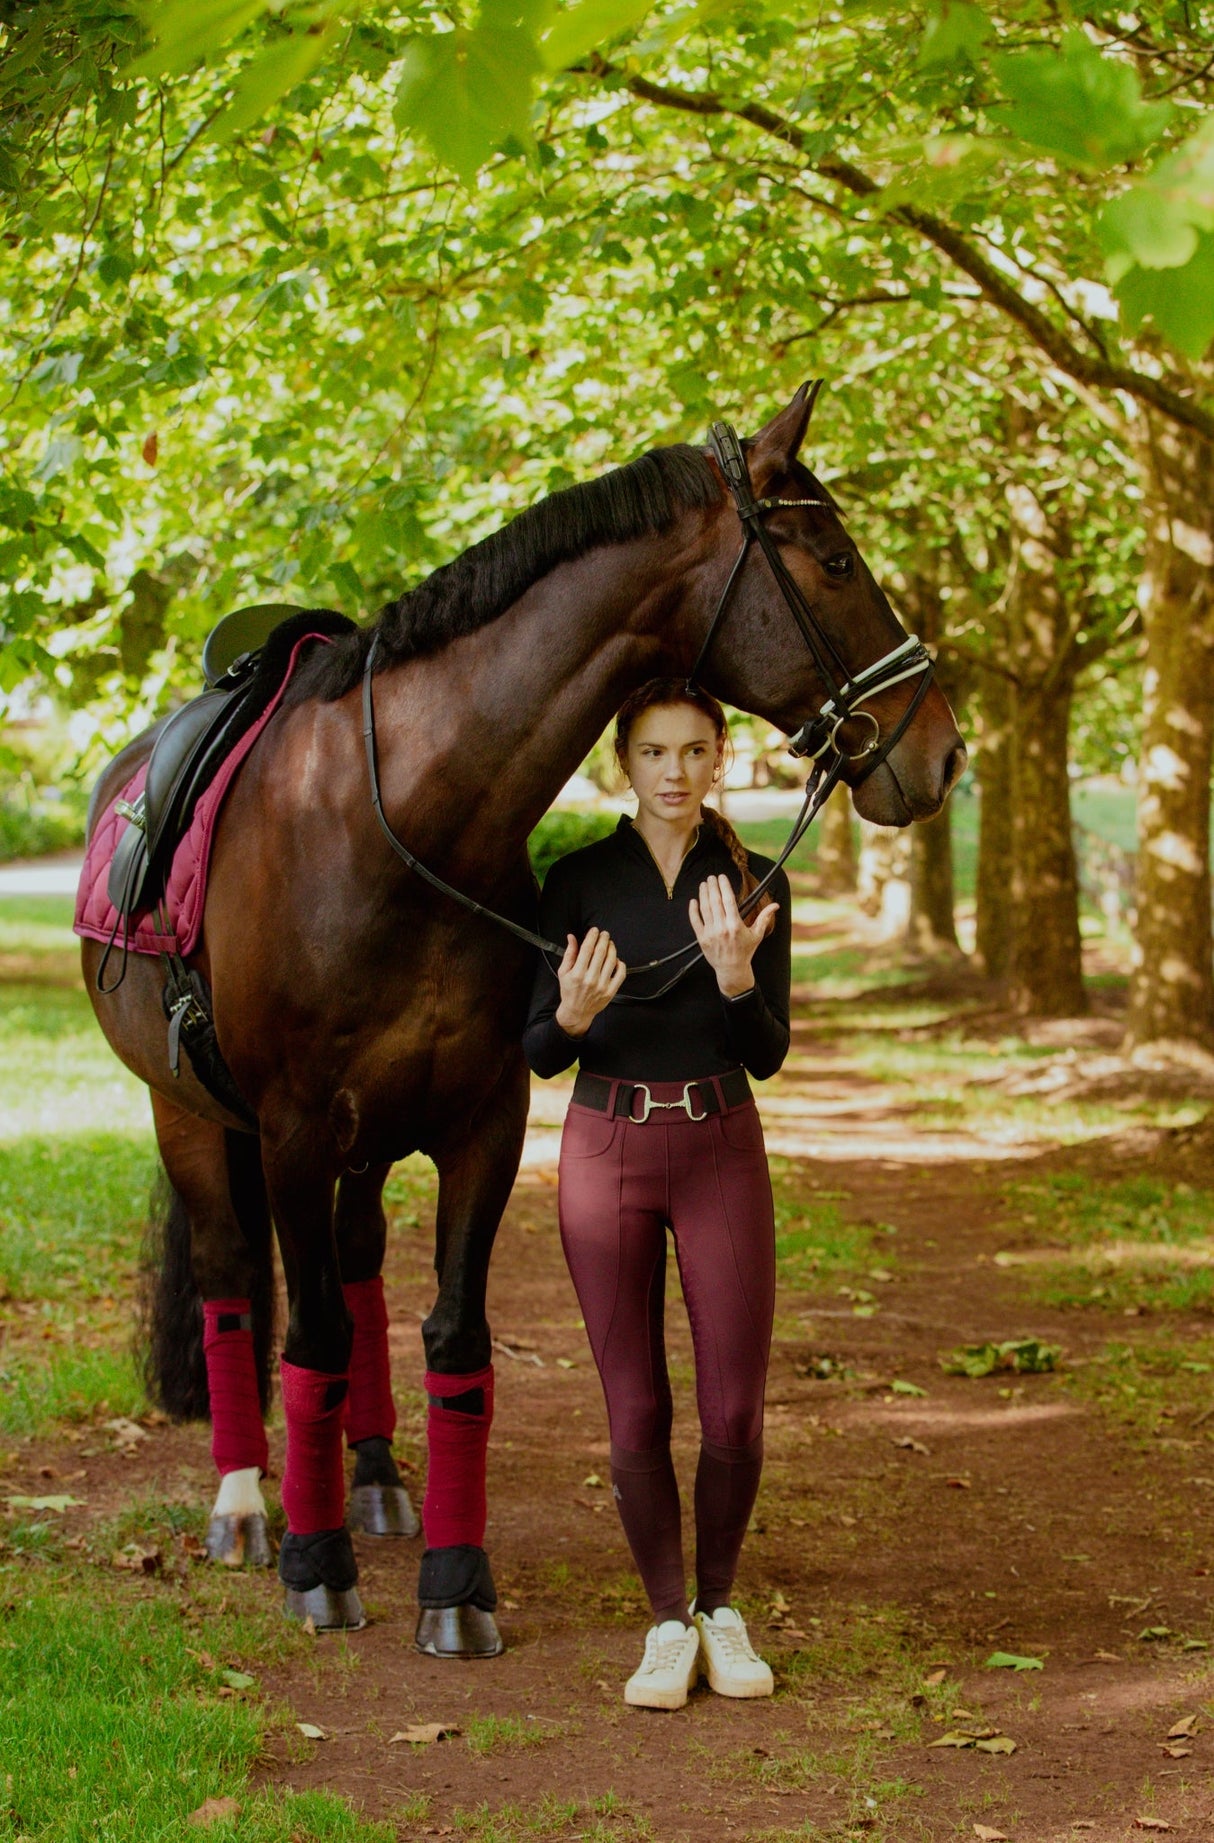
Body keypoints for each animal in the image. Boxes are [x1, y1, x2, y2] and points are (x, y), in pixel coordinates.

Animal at [78, 388, 965, 1658]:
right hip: (193, 1115)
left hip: (361, 1142)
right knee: (234, 1279)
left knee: (357, 1263)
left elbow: (452, 1336)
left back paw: (375, 1477)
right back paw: (248, 1502)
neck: (396, 822)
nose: (940, 751)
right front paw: (315, 1565)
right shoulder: (291, 1130)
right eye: (835, 560)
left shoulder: (480, 1122)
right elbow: (308, 1338)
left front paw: (453, 1580)